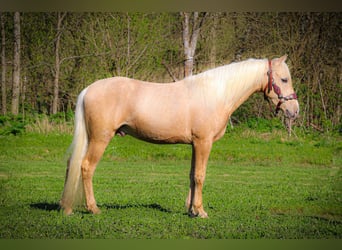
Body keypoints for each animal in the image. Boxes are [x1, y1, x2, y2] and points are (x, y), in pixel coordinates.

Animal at [60, 54, 298, 217]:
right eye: (284, 79)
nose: (294, 111)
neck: (215, 94)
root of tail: (88, 89)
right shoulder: (203, 142)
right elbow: (201, 175)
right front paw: (200, 211)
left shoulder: (195, 144)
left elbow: (192, 175)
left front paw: (191, 209)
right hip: (100, 138)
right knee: (86, 167)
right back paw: (93, 208)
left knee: (72, 164)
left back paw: (66, 206)